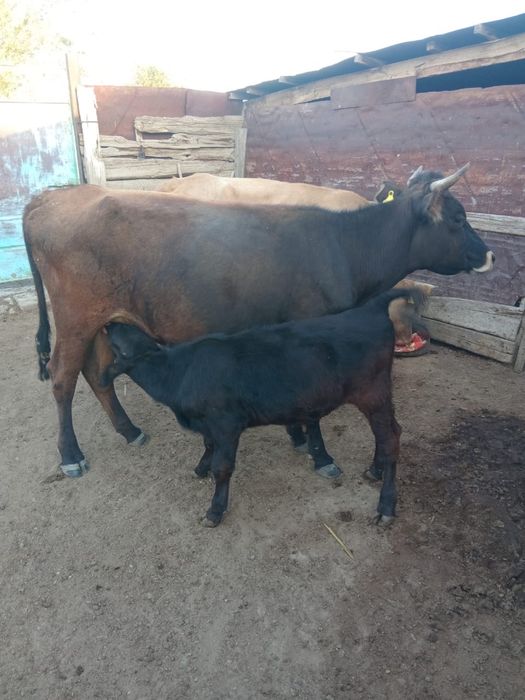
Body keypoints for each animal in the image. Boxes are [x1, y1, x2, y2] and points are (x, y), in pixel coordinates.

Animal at [23, 164, 494, 478]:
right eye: (458, 218)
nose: (489, 254)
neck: (344, 244)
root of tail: (50, 197)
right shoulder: (312, 329)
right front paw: (320, 454)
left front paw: (298, 438)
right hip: (76, 317)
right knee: (63, 379)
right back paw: (70, 456)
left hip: (105, 319)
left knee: (97, 373)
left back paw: (129, 429)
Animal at [102, 288, 426, 527]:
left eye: (122, 337)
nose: (108, 323)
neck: (181, 372)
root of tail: (370, 309)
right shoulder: (209, 424)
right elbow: (208, 446)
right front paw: (200, 467)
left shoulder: (226, 423)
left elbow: (223, 466)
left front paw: (214, 510)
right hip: (377, 397)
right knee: (388, 434)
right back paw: (375, 470)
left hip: (373, 393)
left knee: (390, 439)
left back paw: (386, 506)